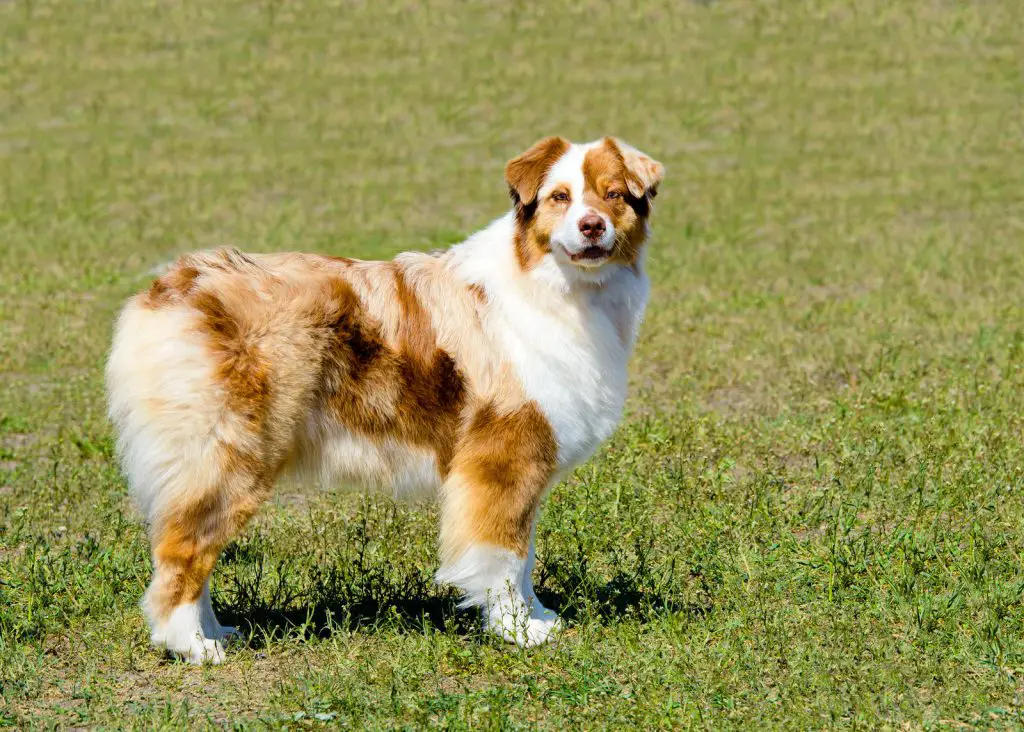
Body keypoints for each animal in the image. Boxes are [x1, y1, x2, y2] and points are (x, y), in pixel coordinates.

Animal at [105, 137, 663, 663]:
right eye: (559, 198)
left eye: (614, 195)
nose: (591, 226)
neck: (561, 288)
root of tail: (176, 285)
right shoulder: (503, 457)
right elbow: (503, 555)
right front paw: (517, 631)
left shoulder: (523, 465)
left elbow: (523, 555)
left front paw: (538, 617)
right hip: (231, 454)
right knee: (183, 546)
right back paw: (192, 646)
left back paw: (217, 631)